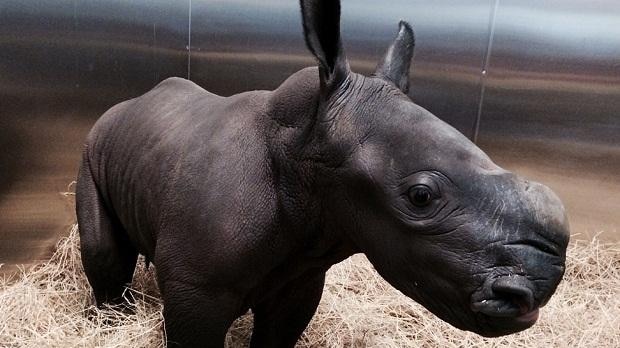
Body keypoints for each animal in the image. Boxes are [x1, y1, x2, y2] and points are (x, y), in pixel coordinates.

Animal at [75, 1, 568, 346]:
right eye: (421, 196)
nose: (536, 290)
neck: (298, 150)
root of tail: (129, 102)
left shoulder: (301, 279)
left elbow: (277, 337)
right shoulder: (196, 289)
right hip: (91, 146)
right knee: (103, 253)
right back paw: (108, 322)